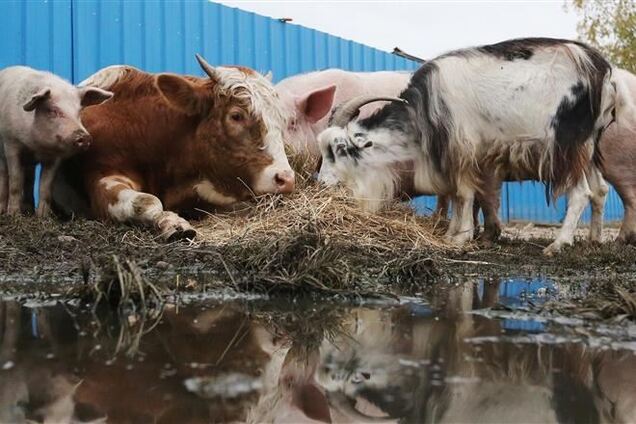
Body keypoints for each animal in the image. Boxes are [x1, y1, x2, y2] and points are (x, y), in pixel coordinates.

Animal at [0, 67, 112, 217]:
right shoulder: (11, 143)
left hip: (29, 165)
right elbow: (15, 181)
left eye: (79, 111)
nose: (84, 136)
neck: (35, 146)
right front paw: (14, 215)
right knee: (4, 177)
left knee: (30, 180)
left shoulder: (55, 157)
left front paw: (43, 216)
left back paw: (29, 210)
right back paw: (4, 211)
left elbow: (45, 186)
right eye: (53, 111)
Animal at [56, 54, 294, 240]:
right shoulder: (100, 175)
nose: (286, 179)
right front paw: (173, 224)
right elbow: (147, 201)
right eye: (236, 116)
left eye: (281, 119)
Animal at [318, 36, 616, 253]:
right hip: (588, 150)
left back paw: (558, 244)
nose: (320, 184)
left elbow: (462, 194)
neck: (424, 110)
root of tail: (600, 72)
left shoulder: (462, 149)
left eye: (340, 149)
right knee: (600, 190)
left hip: (568, 146)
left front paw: (459, 237)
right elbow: (467, 196)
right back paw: (594, 239)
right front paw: (456, 233)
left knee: (582, 192)